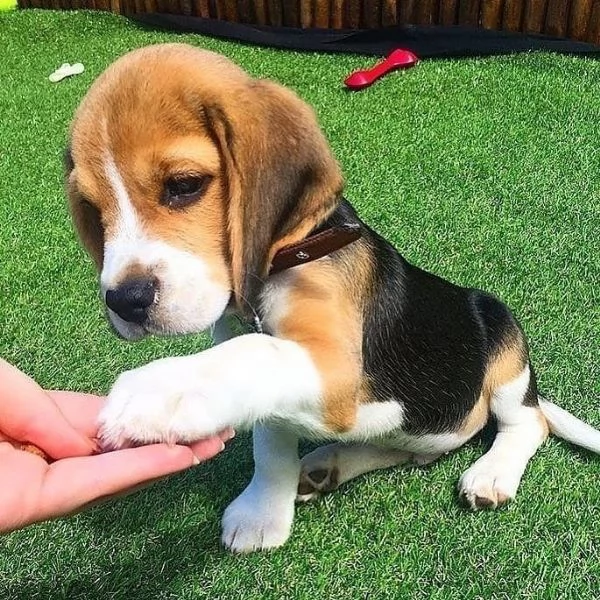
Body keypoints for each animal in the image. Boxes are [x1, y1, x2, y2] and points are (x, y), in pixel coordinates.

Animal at [65, 44, 600, 556]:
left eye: (184, 185)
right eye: (91, 210)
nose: (125, 301)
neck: (287, 260)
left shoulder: (337, 367)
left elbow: (251, 353)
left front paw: (161, 392)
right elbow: (270, 434)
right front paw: (263, 511)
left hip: (503, 343)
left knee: (528, 423)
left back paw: (491, 472)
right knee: (407, 449)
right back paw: (327, 464)